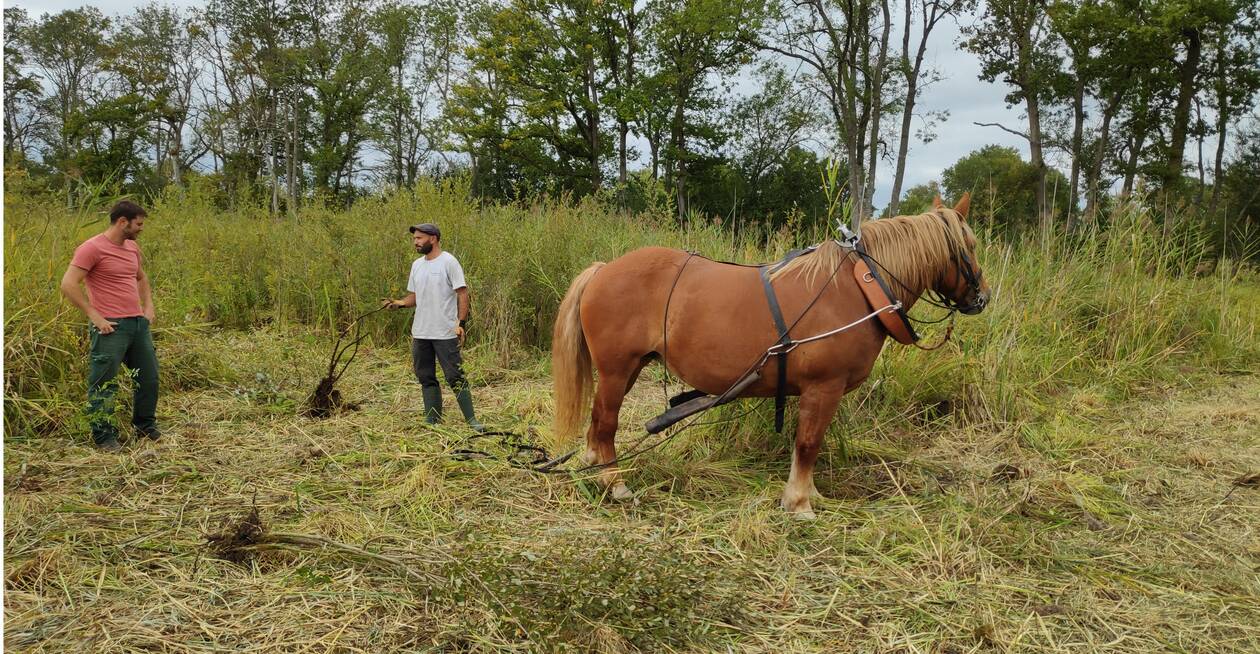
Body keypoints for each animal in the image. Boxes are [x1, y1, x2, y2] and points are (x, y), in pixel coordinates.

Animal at [556, 194, 987, 516]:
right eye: (970, 247)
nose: (981, 298)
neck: (859, 289)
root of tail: (602, 270)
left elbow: (811, 445)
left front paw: (811, 494)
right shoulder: (823, 387)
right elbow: (808, 443)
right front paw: (798, 502)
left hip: (625, 370)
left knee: (597, 423)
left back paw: (594, 466)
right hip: (617, 371)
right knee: (606, 423)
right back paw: (615, 483)